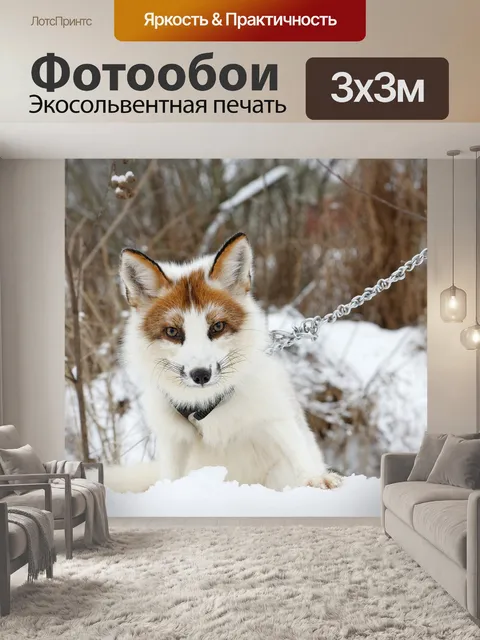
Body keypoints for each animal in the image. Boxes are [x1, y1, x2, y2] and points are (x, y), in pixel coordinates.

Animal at [105, 232, 342, 493]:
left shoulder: (275, 416)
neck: (205, 405)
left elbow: (297, 452)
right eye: (172, 332)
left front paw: (316, 478)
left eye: (217, 326)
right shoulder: (173, 439)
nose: (200, 375)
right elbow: (171, 478)